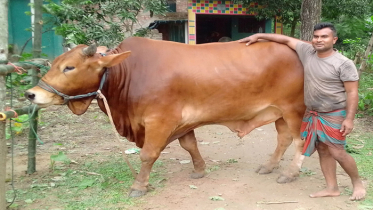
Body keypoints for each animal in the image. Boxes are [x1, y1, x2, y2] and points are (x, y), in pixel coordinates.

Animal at [26, 37, 306, 197]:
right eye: (55, 62)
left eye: (69, 67)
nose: (31, 94)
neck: (129, 72)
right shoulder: (182, 123)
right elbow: (190, 145)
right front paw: (199, 170)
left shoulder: (159, 120)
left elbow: (148, 155)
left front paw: (139, 186)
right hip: (279, 114)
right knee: (283, 139)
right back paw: (269, 166)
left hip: (294, 110)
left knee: (300, 142)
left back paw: (290, 173)